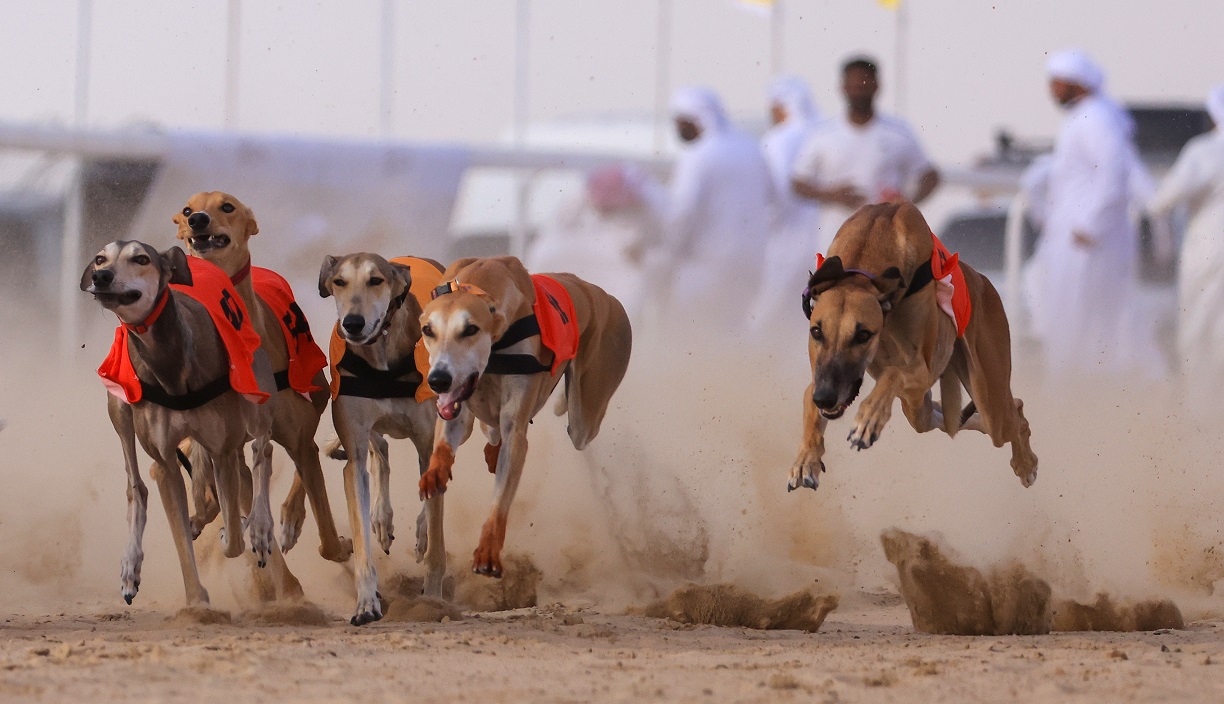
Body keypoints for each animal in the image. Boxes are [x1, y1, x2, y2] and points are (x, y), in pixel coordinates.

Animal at [82, 242, 299, 607]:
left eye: (141, 258)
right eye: (100, 259)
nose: (102, 277)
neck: (170, 363)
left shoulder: (223, 449)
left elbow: (233, 537)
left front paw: (244, 529)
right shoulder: (166, 460)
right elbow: (180, 534)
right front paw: (196, 599)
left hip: (256, 396)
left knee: (262, 450)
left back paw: (257, 525)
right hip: (119, 409)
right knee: (137, 486)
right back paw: (132, 564)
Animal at [170, 189, 350, 565]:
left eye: (227, 206)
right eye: (187, 210)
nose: (198, 221)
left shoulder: (295, 436)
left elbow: (328, 541)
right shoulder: (229, 448)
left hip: (316, 396)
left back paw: (290, 519)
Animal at [318, 250, 447, 624]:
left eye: (376, 280)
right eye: (339, 282)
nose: (353, 323)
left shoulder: (428, 441)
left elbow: (436, 537)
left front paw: (432, 599)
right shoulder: (355, 451)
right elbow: (360, 533)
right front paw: (366, 603)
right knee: (382, 451)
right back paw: (382, 517)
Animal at [418, 255, 631, 580]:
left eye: (470, 330)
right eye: (428, 330)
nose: (438, 380)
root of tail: (603, 295)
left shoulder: (515, 427)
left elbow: (501, 495)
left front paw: (488, 552)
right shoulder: (456, 409)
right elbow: (442, 449)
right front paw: (433, 475)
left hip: (584, 417)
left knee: (577, 429)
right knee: (487, 431)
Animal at [788, 200, 1037, 492]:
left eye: (863, 335)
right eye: (816, 332)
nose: (826, 397)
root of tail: (983, 279)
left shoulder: (922, 369)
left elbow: (894, 373)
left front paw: (868, 420)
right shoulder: (823, 375)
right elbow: (809, 395)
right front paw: (807, 458)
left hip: (989, 399)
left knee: (1015, 413)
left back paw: (1026, 463)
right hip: (920, 409)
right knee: (950, 420)